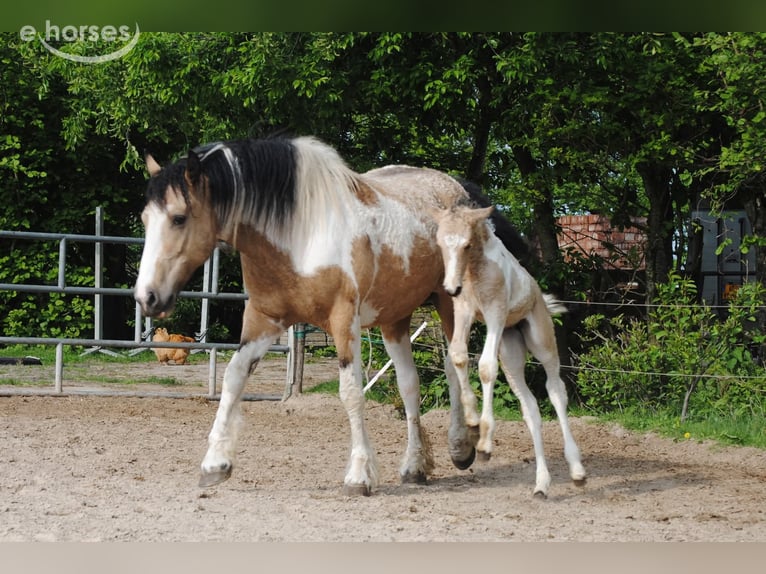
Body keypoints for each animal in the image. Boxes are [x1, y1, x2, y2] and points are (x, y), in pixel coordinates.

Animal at [133, 135, 528, 495]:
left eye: (179, 217)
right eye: (145, 218)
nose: (146, 297)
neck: (300, 235)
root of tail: (459, 191)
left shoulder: (343, 322)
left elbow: (351, 391)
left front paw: (359, 475)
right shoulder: (264, 320)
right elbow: (233, 377)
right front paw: (215, 464)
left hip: (448, 303)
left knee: (453, 365)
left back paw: (461, 446)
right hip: (394, 319)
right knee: (409, 385)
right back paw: (415, 466)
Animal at [435, 203, 587, 497]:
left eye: (467, 244)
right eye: (440, 243)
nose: (451, 288)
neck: (475, 271)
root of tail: (541, 298)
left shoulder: (495, 313)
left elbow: (485, 367)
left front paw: (484, 443)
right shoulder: (465, 311)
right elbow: (458, 355)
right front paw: (472, 422)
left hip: (542, 344)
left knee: (556, 392)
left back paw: (577, 471)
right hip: (512, 355)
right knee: (530, 409)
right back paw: (541, 484)